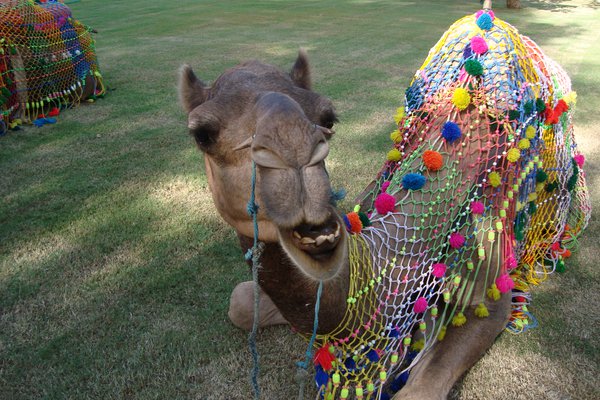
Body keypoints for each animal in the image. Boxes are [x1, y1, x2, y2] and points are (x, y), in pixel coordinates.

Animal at [179, 8, 590, 400]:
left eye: (329, 117)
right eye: (202, 134)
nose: (294, 161)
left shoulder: (491, 287)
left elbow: (423, 385)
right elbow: (240, 302)